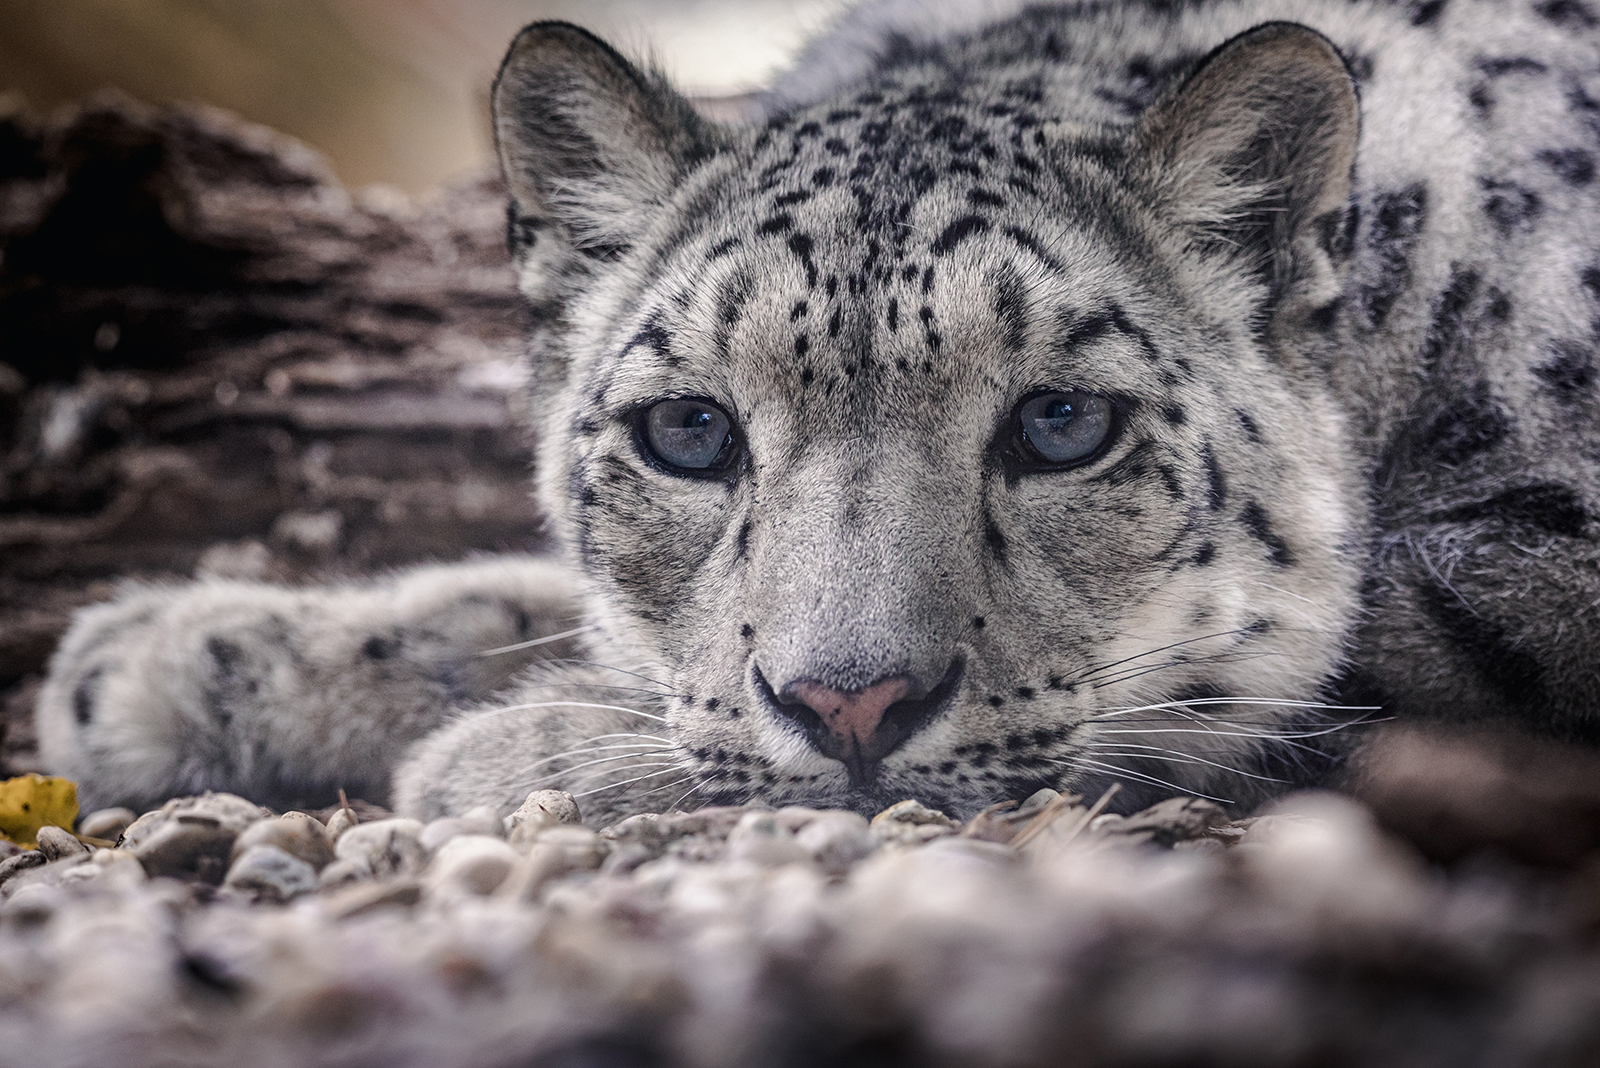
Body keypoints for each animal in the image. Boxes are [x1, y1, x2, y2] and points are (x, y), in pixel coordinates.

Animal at [31, 0, 1600, 824]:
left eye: (1061, 424)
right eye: (689, 433)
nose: (852, 705)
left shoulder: (1542, 567)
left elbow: (1315, 657)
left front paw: (511, 749)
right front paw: (159, 660)